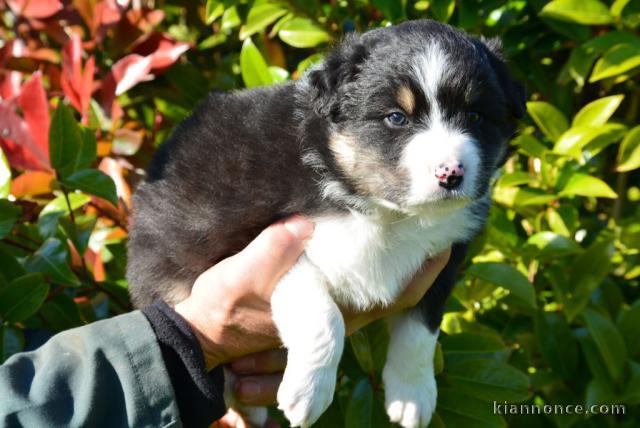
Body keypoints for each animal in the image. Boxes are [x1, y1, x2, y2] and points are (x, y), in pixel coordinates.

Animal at [126, 19, 524, 428]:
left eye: (475, 117)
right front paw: (308, 393)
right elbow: (323, 314)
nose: (451, 173)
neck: (386, 212)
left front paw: (413, 396)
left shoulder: (444, 258)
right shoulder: (263, 245)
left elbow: (421, 332)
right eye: (397, 117)